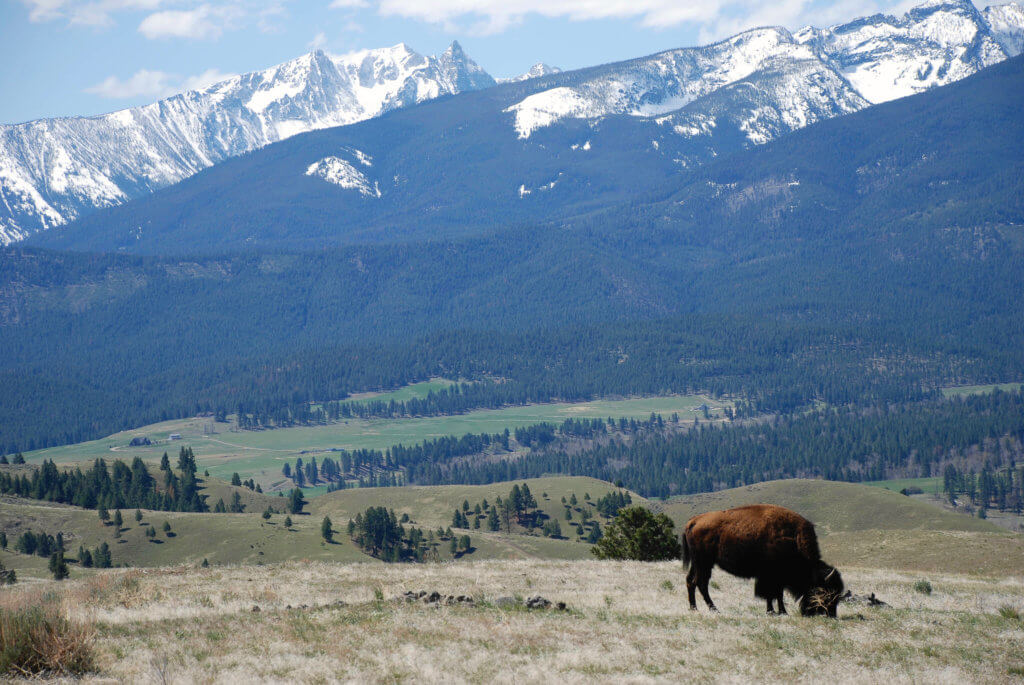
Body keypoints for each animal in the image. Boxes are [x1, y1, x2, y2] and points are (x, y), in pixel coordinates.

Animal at [684, 501, 843, 614]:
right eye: (826, 592)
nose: (830, 614)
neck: (794, 537)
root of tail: (693, 521)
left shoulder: (778, 577)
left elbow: (778, 594)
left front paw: (781, 612)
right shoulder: (771, 575)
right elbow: (771, 594)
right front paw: (773, 611)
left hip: (697, 563)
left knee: (690, 581)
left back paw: (694, 608)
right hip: (704, 563)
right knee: (701, 583)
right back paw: (713, 609)